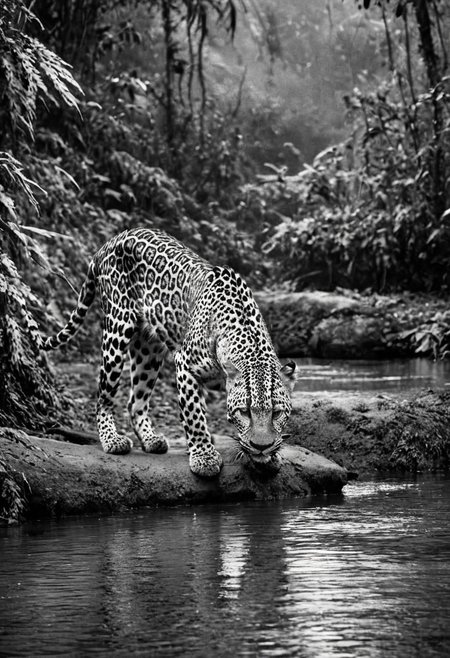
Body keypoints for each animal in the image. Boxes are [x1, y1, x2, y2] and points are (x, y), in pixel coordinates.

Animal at [43, 228, 297, 477]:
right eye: (244, 412)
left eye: (276, 413)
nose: (261, 447)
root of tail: (110, 241)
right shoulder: (185, 365)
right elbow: (194, 415)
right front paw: (204, 457)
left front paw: (268, 456)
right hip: (117, 332)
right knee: (104, 396)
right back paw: (112, 440)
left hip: (148, 351)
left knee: (135, 401)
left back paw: (151, 439)